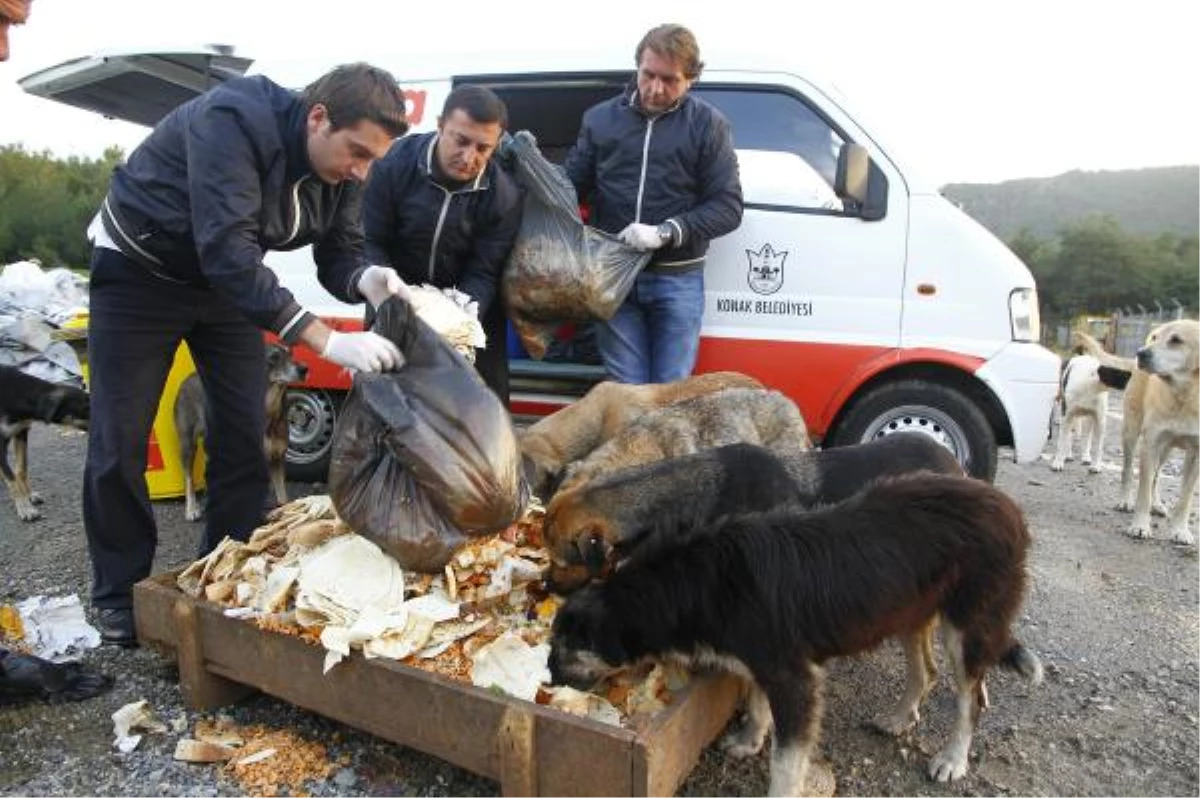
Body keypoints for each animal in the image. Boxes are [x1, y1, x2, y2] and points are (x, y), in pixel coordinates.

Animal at [0, 364, 89, 520]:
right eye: (85, 408)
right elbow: (11, 478)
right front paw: (25, 507)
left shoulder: (21, 431)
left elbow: (21, 469)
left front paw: (29, 495)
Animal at [549, 470, 1046, 792]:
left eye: (564, 648)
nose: (549, 679)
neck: (693, 581)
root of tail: (1008, 506)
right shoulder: (761, 664)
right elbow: (755, 703)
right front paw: (750, 740)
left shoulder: (795, 679)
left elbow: (786, 764)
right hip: (905, 611)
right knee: (924, 672)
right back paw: (899, 718)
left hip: (967, 628)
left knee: (970, 701)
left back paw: (952, 759)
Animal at [1099, 321, 1200, 544]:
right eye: (1155, 337)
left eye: (1176, 340)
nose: (1141, 353)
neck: (1184, 396)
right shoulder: (1150, 444)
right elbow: (1143, 491)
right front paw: (1140, 526)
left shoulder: (1197, 454)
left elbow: (1186, 498)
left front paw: (1181, 530)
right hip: (1131, 432)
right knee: (1128, 470)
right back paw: (1125, 501)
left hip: (1167, 449)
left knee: (1157, 476)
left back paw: (1158, 505)